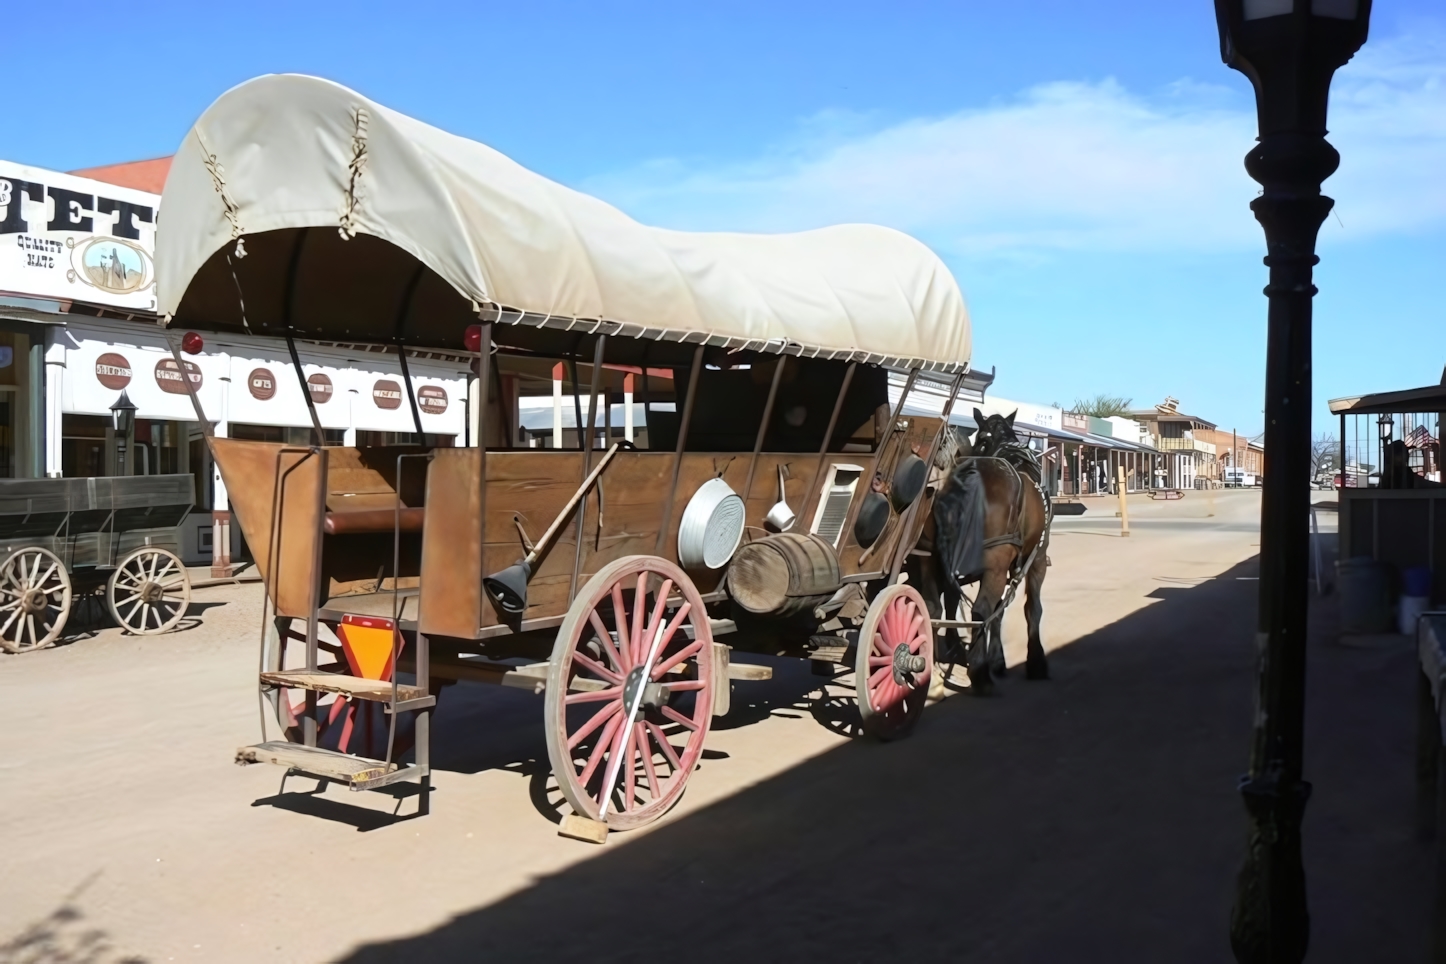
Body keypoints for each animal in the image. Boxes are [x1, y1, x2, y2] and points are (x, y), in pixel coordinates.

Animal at [913, 407, 1052, 693]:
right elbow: (1032, 609)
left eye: (979, 440)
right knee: (981, 610)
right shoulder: (1037, 559)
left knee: (932, 608)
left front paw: (997, 660)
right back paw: (979, 674)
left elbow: (998, 612)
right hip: (997, 563)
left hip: (929, 558)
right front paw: (1036, 661)